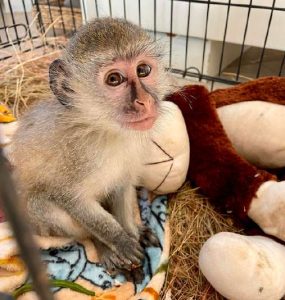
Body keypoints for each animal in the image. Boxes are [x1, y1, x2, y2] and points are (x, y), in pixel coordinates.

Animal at [10, 17, 171, 282]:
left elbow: (122, 187)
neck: (106, 131)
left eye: (143, 70)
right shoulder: (76, 159)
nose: (145, 101)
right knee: (45, 206)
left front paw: (132, 231)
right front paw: (120, 241)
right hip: (38, 221)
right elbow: (70, 198)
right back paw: (103, 247)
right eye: (114, 79)